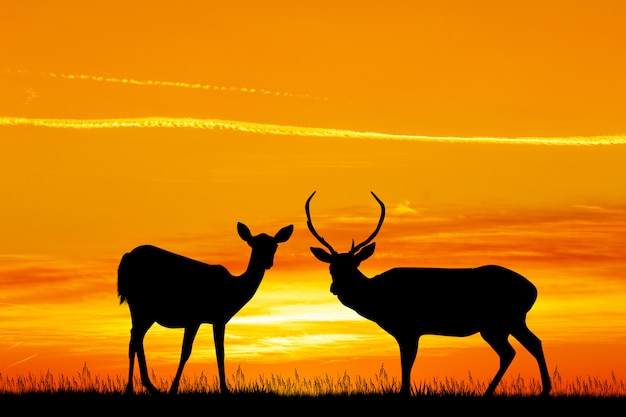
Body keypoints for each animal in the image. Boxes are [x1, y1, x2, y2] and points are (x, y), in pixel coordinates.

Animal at [117, 221, 292, 394]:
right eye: (253, 244)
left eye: (274, 246)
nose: (268, 263)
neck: (234, 292)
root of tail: (127, 257)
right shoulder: (200, 318)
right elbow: (191, 352)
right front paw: (175, 388)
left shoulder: (215, 319)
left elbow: (219, 352)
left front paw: (223, 388)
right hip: (141, 304)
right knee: (135, 338)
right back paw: (133, 388)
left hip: (142, 309)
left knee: (136, 337)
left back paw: (148, 386)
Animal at [304, 190, 548, 394]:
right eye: (331, 268)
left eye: (353, 266)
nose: (335, 287)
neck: (378, 300)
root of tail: (533, 290)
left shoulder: (409, 327)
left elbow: (407, 362)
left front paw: (405, 393)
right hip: (506, 323)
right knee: (526, 346)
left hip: (500, 322)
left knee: (516, 350)